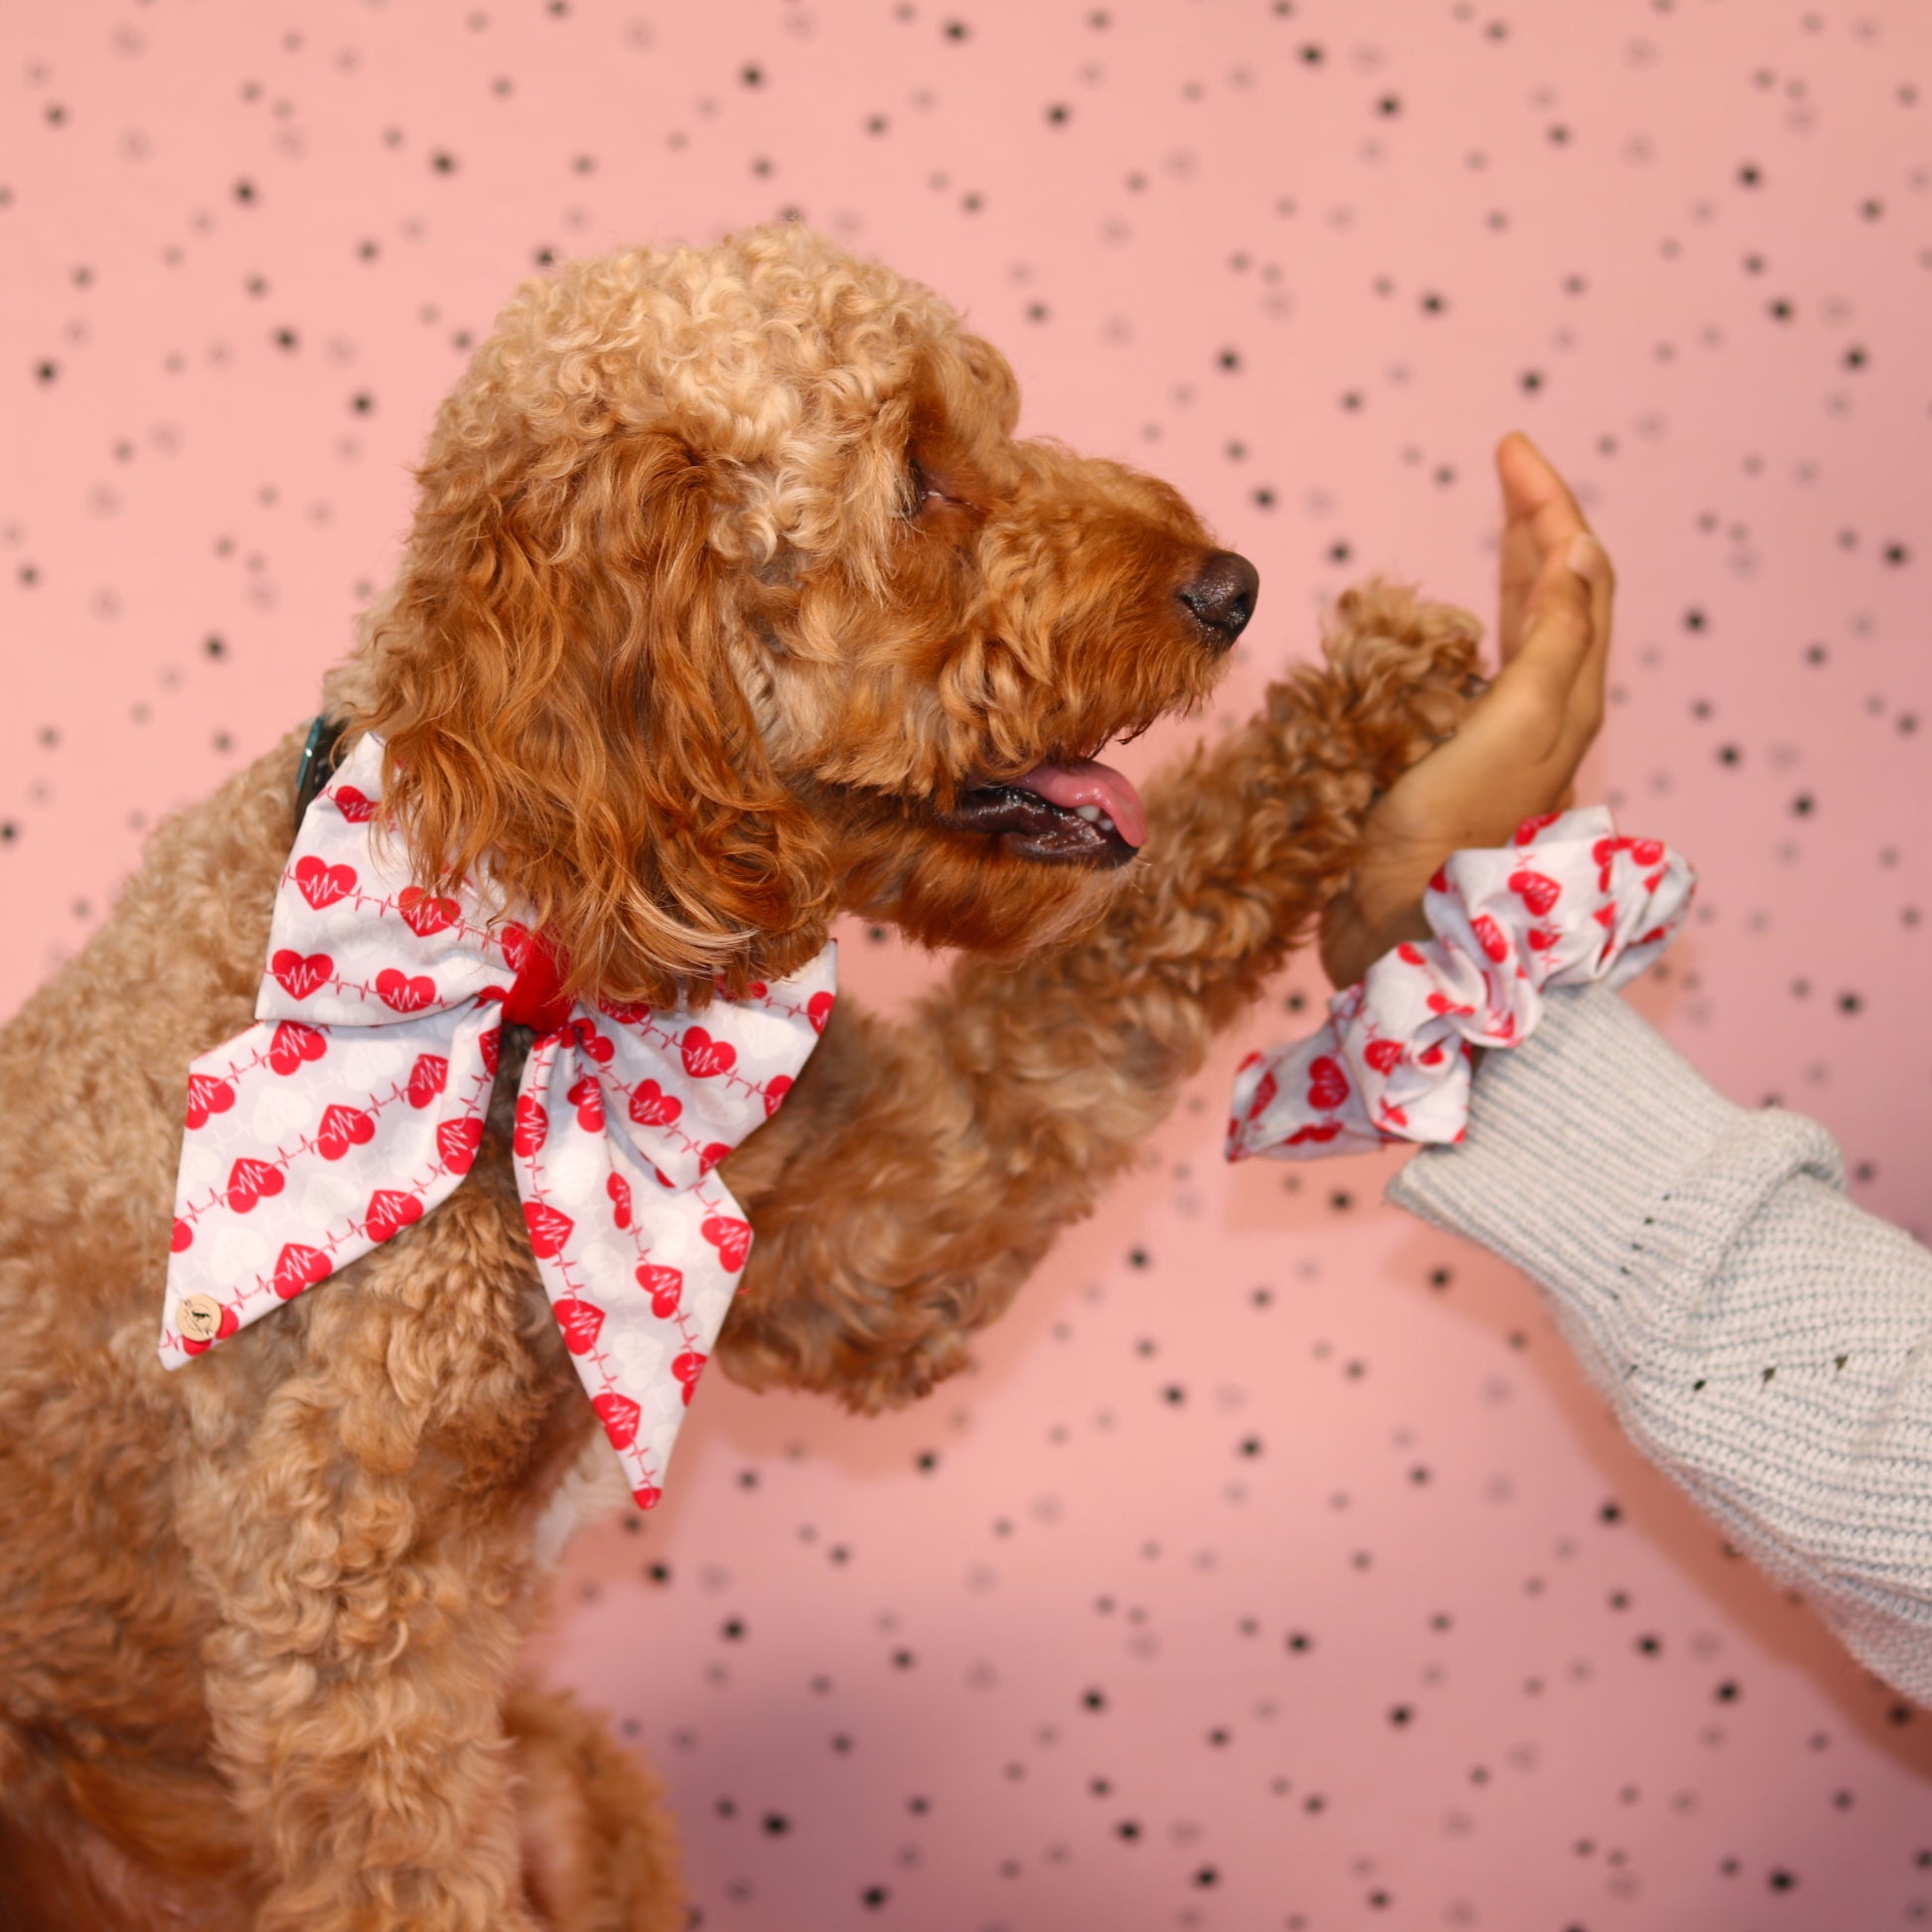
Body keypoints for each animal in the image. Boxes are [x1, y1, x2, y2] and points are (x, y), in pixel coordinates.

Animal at [0, 222, 1475, 1916]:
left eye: (995, 424)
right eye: (915, 477)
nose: (1233, 585)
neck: (537, 983)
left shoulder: (879, 1211)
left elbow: (1077, 1020)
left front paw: (1384, 689)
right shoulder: (345, 1610)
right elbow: (406, 1856)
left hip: (572, 1789)